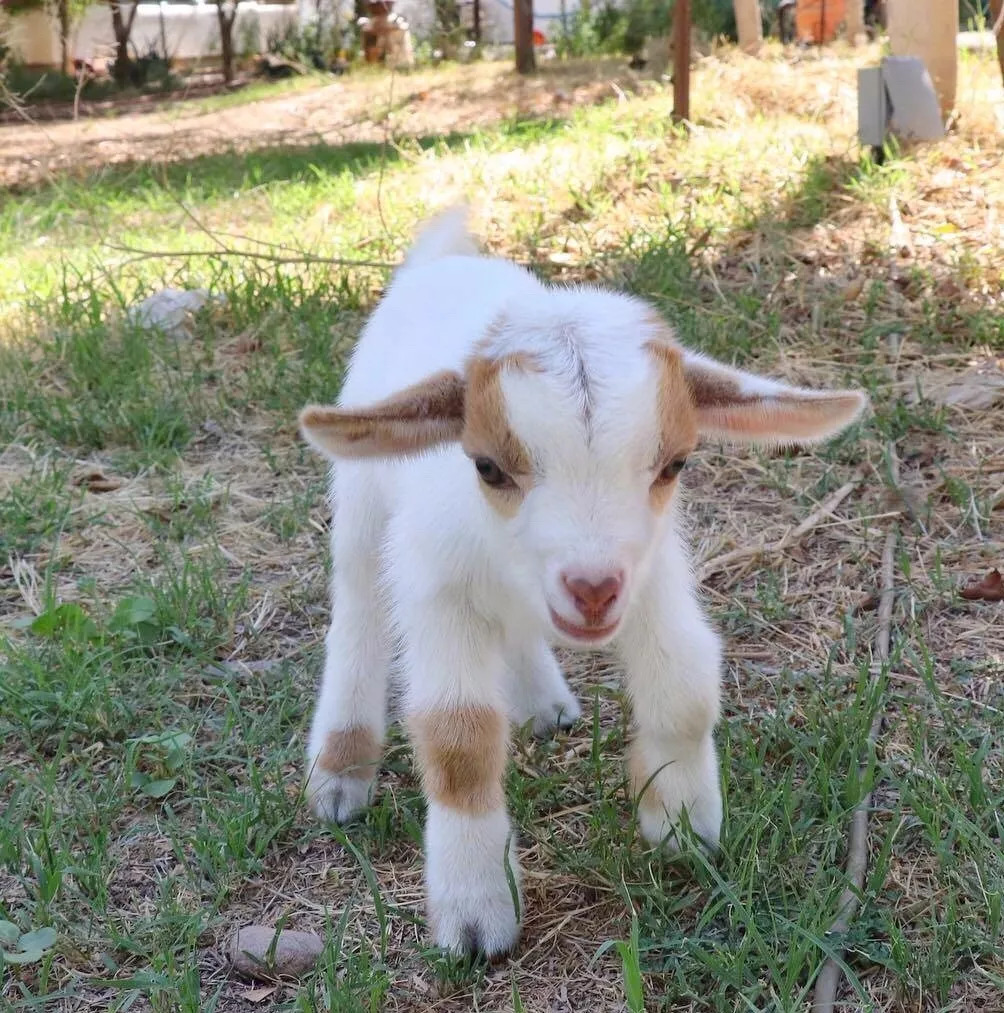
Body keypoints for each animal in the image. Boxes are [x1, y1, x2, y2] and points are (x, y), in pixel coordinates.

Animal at [295, 205, 863, 956]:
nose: (591, 589)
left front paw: (682, 823)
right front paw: (474, 911)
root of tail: (442, 260)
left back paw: (545, 703)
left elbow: (684, 685)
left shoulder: (651, 574)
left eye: (675, 463)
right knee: (357, 607)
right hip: (363, 501)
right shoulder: (439, 584)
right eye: (487, 467)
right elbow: (458, 734)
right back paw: (341, 772)